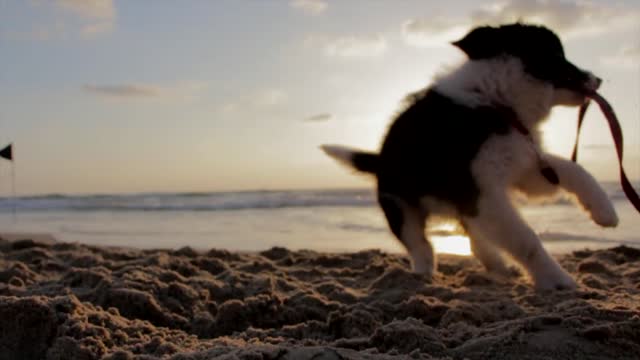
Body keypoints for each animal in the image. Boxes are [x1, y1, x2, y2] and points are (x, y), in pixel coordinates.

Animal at [322, 23, 616, 292]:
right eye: (558, 55)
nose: (598, 79)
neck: (496, 101)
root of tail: (380, 159)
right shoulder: (484, 192)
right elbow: (526, 238)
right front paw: (556, 280)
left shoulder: (523, 167)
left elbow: (572, 169)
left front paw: (605, 211)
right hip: (400, 207)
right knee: (421, 245)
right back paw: (423, 275)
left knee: (474, 239)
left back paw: (497, 265)